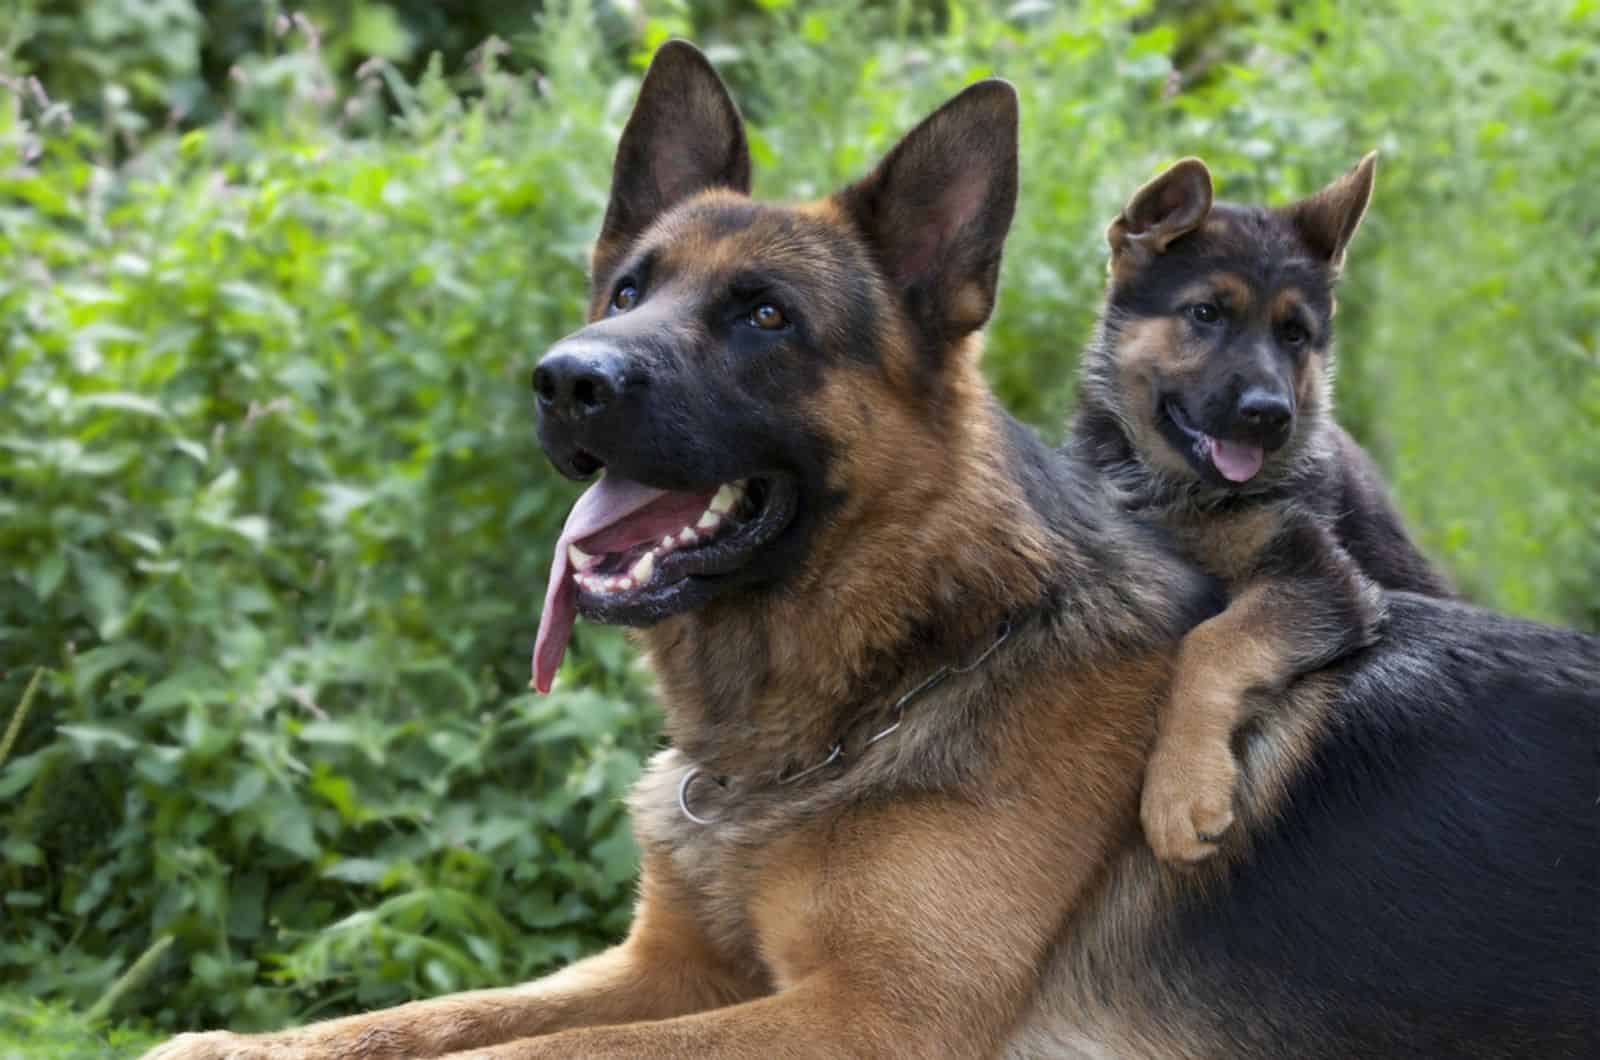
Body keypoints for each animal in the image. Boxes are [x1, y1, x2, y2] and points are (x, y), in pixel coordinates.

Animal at [1068, 160, 1459, 871]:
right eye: (1205, 314)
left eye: (1294, 335)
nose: (1269, 414)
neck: (1176, 489)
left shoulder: (1322, 576)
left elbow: (1212, 642)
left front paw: (1181, 789)